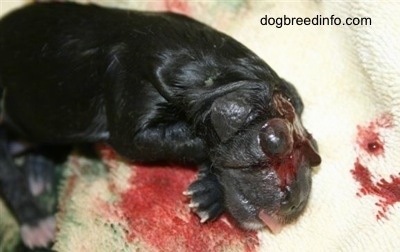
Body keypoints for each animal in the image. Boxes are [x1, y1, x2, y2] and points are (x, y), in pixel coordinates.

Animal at [0, 1, 320, 249]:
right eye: (276, 139)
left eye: (315, 152)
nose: (297, 204)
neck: (210, 71)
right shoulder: (132, 104)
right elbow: (188, 142)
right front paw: (211, 184)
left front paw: (210, 193)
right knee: (10, 177)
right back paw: (36, 221)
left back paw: (38, 171)